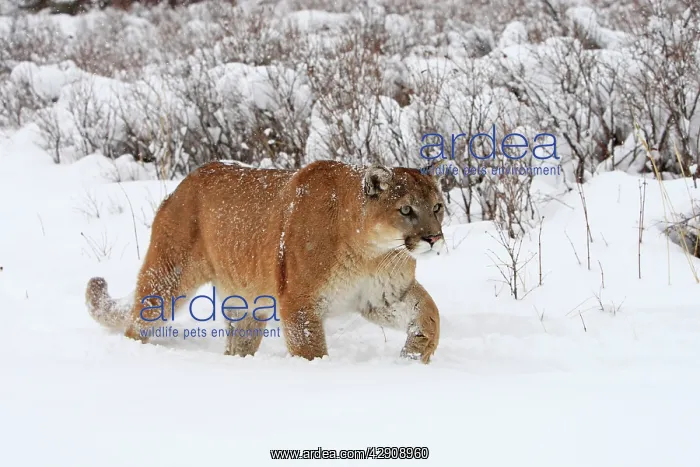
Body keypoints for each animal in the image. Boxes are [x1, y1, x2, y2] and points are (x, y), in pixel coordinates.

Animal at [85, 159, 447, 363]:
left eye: (437, 207)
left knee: (238, 342)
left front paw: (415, 353)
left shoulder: (383, 295)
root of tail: (182, 184)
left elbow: (428, 312)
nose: (433, 238)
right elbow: (309, 348)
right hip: (169, 276)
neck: (371, 253)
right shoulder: (300, 301)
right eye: (406, 209)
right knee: (139, 320)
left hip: (245, 304)